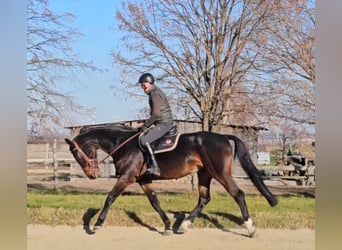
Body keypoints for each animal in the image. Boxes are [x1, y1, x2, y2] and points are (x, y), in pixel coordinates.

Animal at [65, 125, 278, 236]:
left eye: (75, 153)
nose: (92, 174)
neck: (123, 144)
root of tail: (223, 136)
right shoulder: (143, 180)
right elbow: (155, 202)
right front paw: (167, 225)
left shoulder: (127, 178)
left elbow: (110, 197)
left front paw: (97, 224)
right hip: (204, 174)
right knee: (204, 198)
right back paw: (183, 226)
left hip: (220, 173)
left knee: (238, 194)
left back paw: (250, 228)